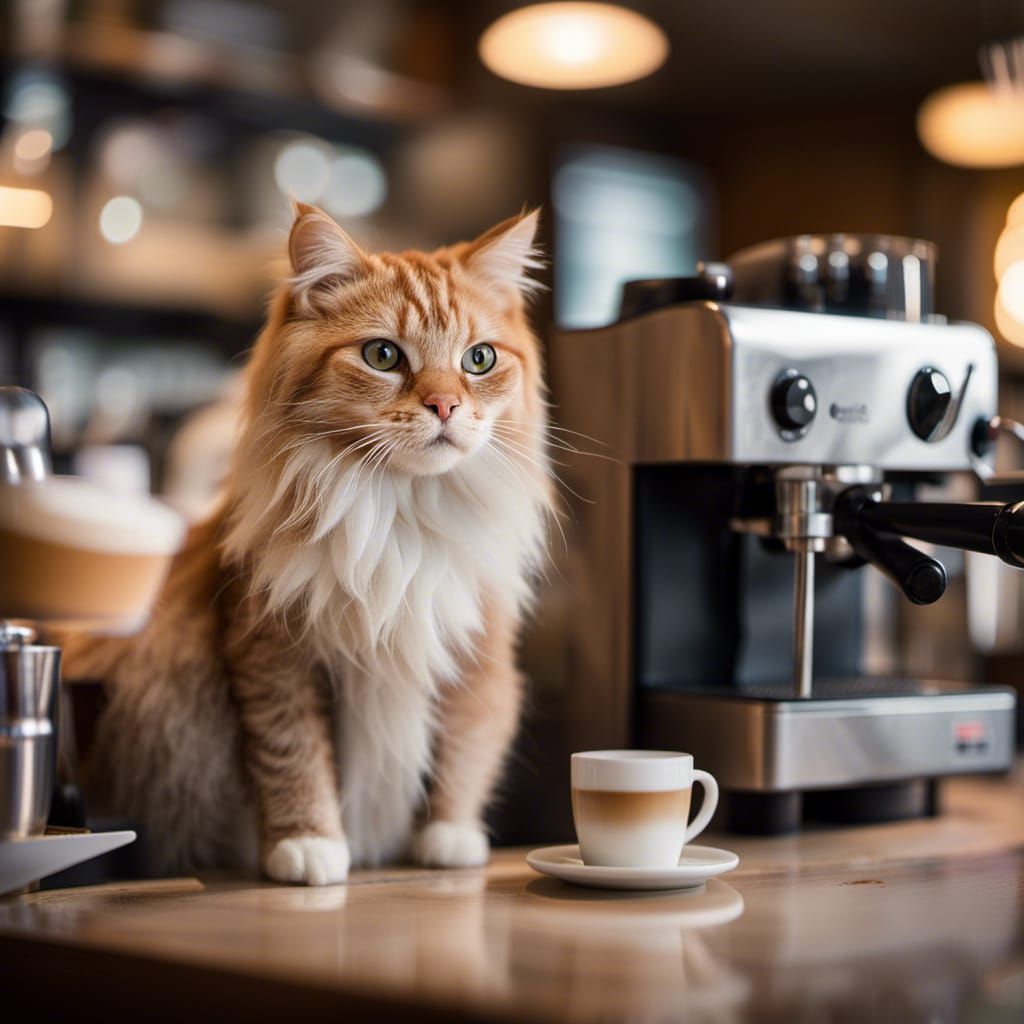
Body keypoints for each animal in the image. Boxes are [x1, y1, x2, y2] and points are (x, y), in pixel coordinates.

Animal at [64, 203, 552, 884]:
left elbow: (464, 753)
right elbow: (295, 756)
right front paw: (309, 846)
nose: (445, 405)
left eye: (479, 360)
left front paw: (449, 840)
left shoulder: (479, 652)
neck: (401, 516)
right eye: (383, 355)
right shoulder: (273, 651)